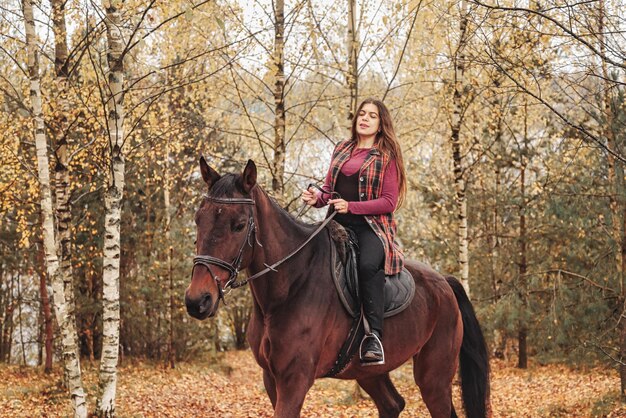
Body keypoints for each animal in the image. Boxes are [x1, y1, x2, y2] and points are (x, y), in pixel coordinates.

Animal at [183, 158, 490, 416]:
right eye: (198, 220)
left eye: (238, 225)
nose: (198, 301)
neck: (290, 286)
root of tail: (445, 283)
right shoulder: (271, 379)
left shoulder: (294, 380)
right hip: (370, 371)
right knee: (392, 404)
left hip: (433, 377)